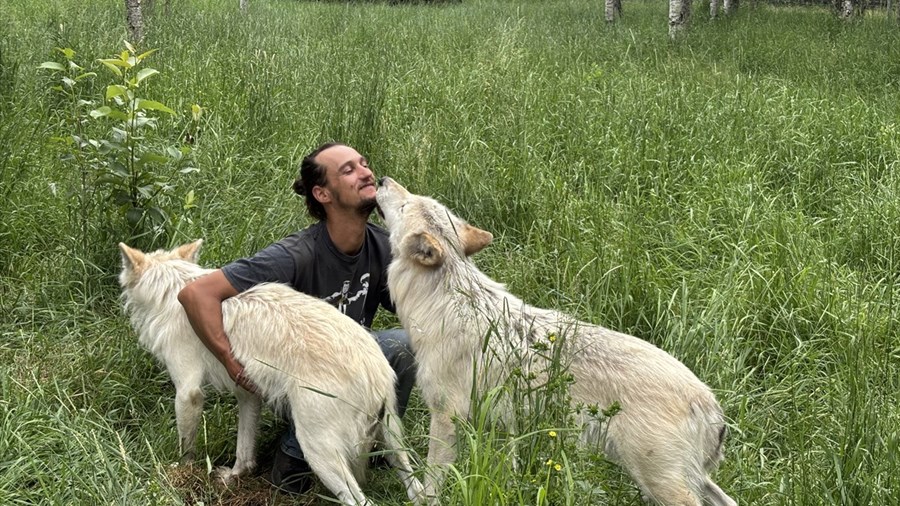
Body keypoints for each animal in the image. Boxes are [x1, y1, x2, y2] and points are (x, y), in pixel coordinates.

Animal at [375, 177, 737, 506]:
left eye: (406, 204)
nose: (381, 179)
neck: (445, 302)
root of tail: (711, 404)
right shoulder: (504, 427)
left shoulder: (446, 416)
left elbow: (432, 481)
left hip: (661, 483)